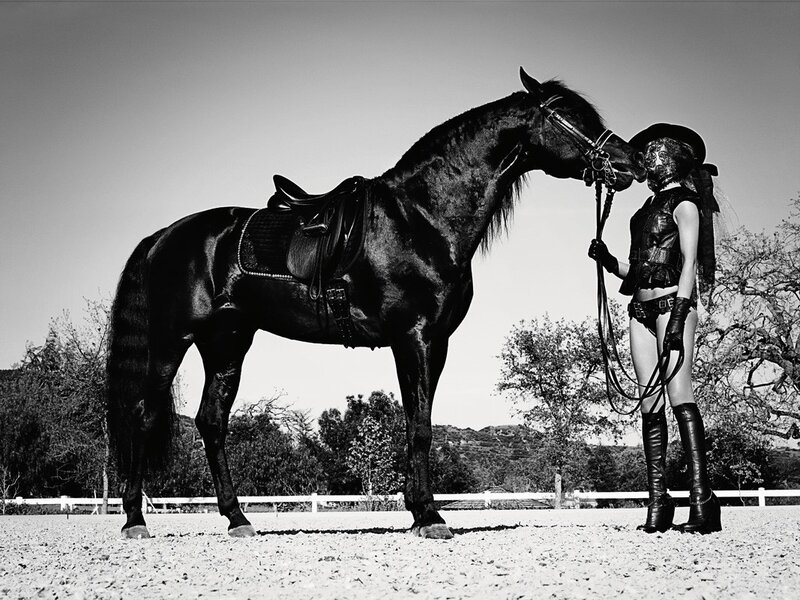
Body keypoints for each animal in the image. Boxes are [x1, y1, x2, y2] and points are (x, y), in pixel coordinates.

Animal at [106, 68, 645, 539]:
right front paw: (430, 517)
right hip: (173, 341)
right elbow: (421, 427)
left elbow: (416, 421)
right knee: (143, 415)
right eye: (568, 115)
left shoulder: (432, 343)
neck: (421, 219)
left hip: (226, 343)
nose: (630, 164)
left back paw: (238, 520)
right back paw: (135, 521)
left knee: (211, 423)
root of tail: (164, 236)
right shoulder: (415, 338)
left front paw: (417, 510)